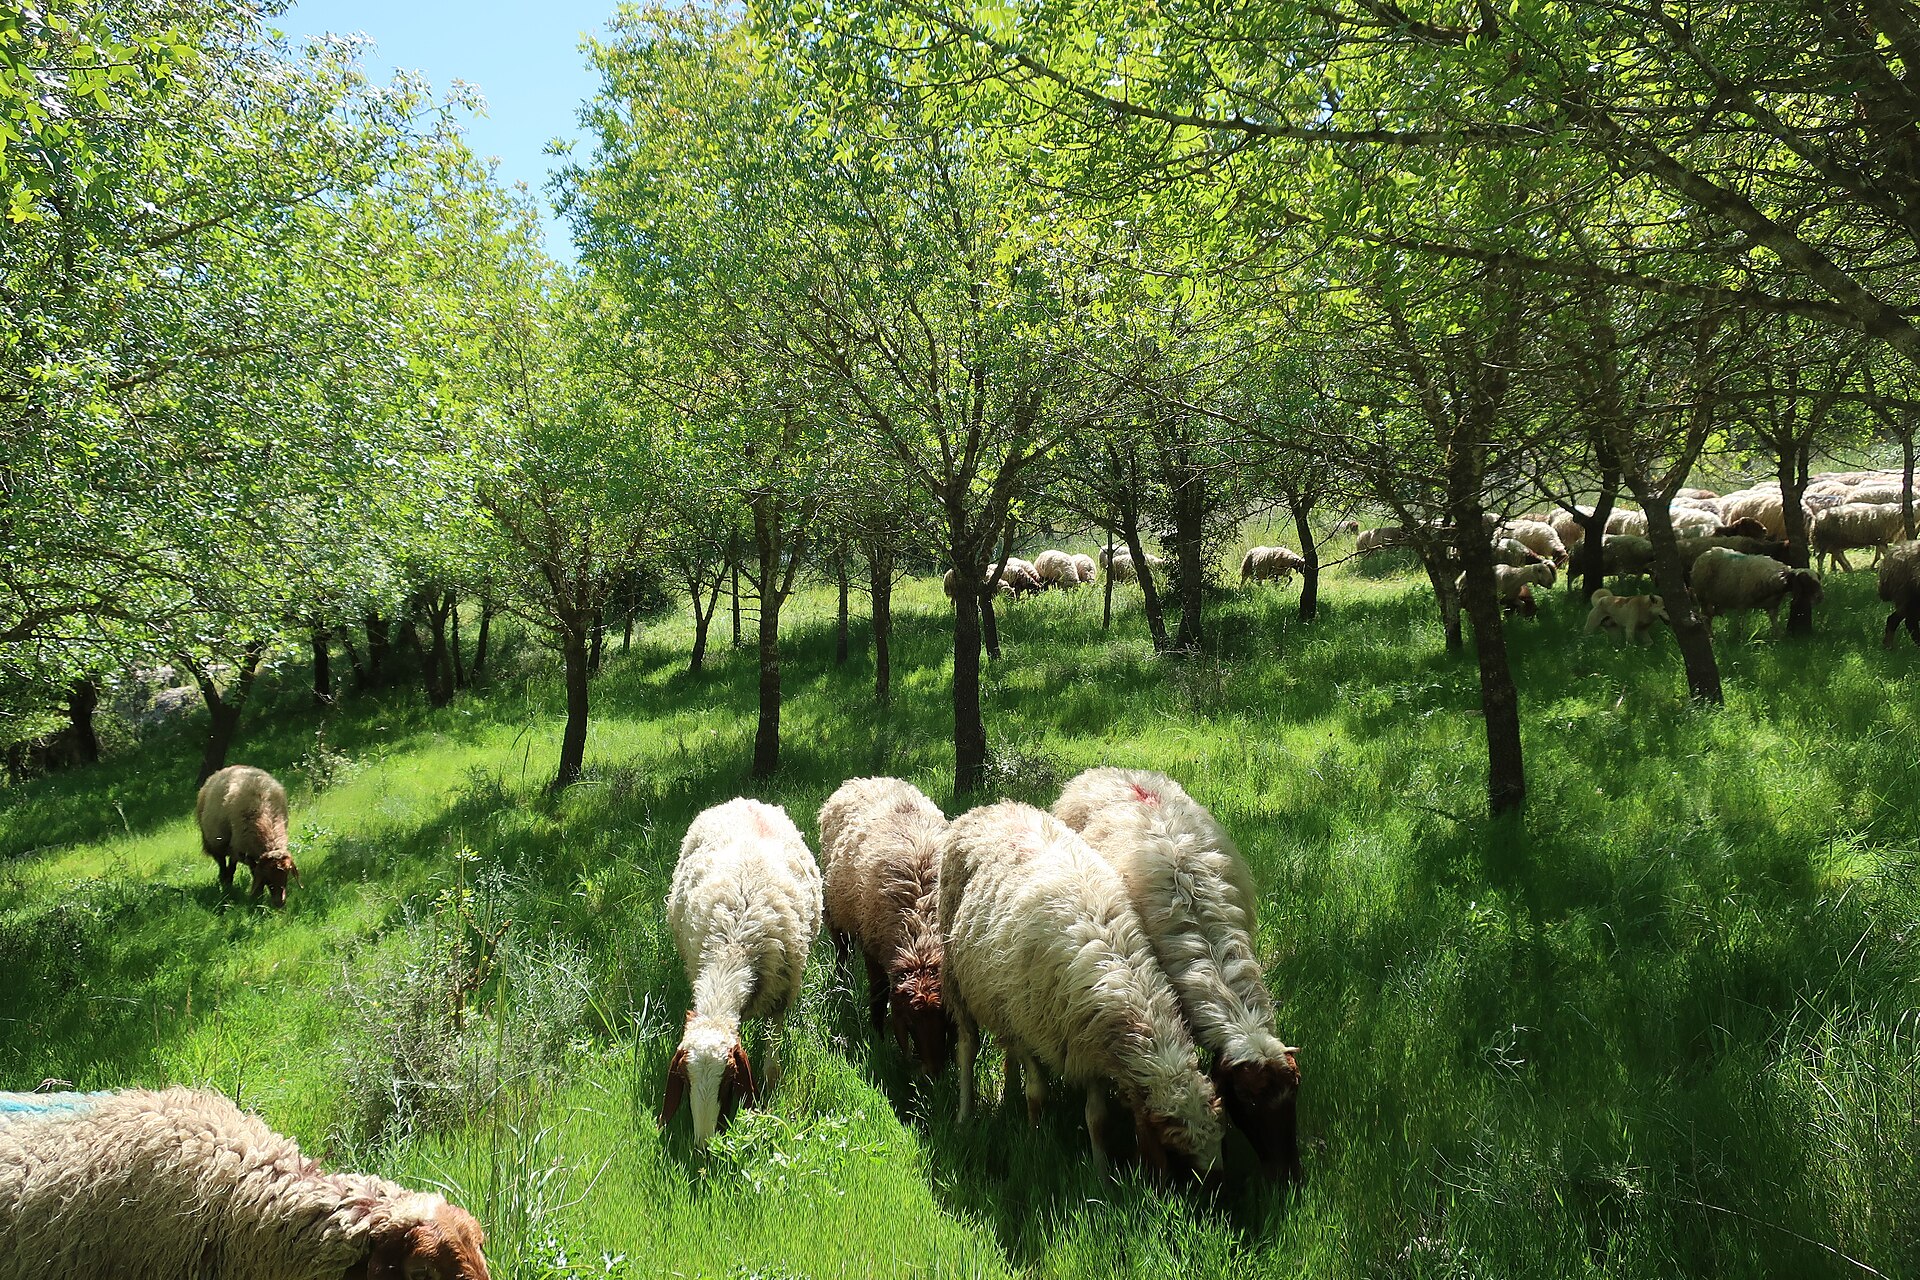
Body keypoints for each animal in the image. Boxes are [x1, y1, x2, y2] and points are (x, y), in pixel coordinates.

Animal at [195, 764, 298, 908]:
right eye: (268, 875)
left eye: (287, 872)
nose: (279, 902)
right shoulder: (244, 852)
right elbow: (255, 873)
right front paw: (257, 897)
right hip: (217, 842)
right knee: (222, 865)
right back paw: (225, 884)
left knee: (231, 866)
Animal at [663, 798, 822, 1148]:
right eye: (685, 1080)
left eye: (729, 1080)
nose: (704, 1145)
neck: (732, 952)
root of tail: (746, 801)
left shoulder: (780, 996)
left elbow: (772, 1066)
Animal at [818, 777, 951, 1076]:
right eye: (910, 1023)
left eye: (945, 1021)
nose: (933, 1073)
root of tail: (867, 778)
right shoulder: (873, 948)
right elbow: (878, 997)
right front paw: (877, 1037)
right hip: (836, 913)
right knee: (842, 952)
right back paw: (842, 983)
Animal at [938, 801, 1224, 1179]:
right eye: (1176, 1154)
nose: (1216, 1189)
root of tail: (988, 808)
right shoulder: (1033, 1030)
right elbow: (1037, 1094)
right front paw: (1034, 1142)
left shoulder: (1088, 1047)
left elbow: (1097, 1119)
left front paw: (1100, 1174)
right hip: (957, 978)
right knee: (967, 1048)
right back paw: (964, 1115)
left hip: (999, 995)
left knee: (1005, 1049)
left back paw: (1007, 1097)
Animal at [1690, 547, 1823, 630]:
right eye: (1806, 581)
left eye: (1818, 579)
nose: (1820, 597)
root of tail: (1705, 553)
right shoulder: (1742, 604)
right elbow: (1741, 625)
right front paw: (1741, 641)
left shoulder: (1772, 606)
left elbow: (1776, 626)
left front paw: (1779, 640)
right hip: (1703, 596)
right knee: (1706, 618)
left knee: (1709, 615)